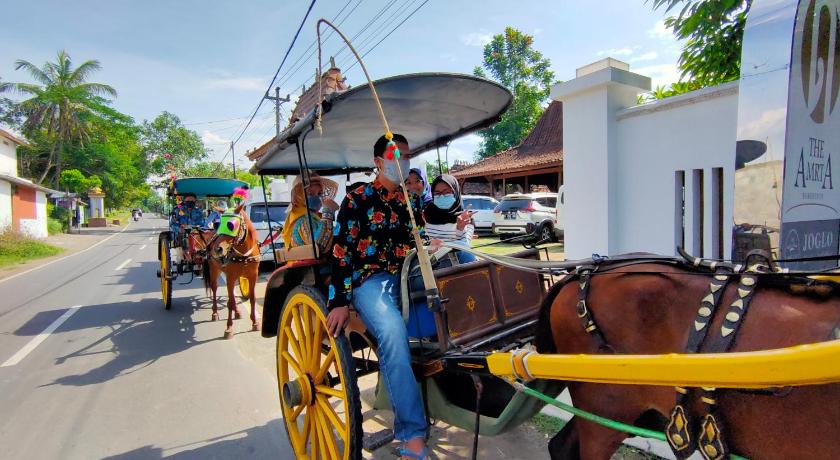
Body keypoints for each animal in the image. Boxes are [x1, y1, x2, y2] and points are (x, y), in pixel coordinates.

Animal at [202, 203, 260, 340]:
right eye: (219, 224)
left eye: (231, 225)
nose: (217, 249)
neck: (244, 254)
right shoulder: (230, 277)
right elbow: (229, 302)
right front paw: (229, 328)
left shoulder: (253, 276)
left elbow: (252, 298)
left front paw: (254, 322)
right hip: (214, 270)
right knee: (215, 288)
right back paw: (215, 312)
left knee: (232, 294)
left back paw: (237, 312)